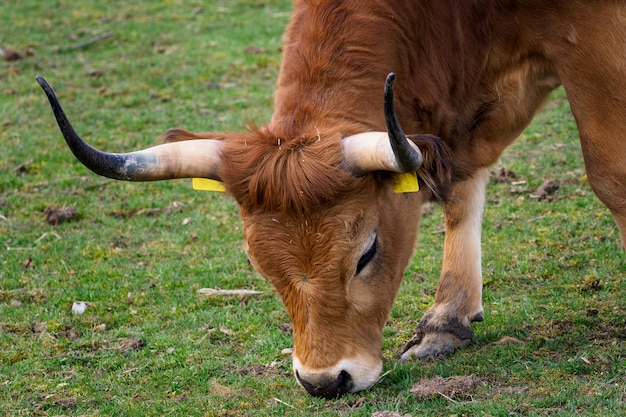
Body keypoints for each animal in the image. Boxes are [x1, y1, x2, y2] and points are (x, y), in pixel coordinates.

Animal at [39, 0, 624, 396]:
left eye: (366, 254)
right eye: (258, 266)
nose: (324, 381)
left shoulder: (589, 41)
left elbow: (609, 173)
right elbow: (460, 190)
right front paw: (447, 320)